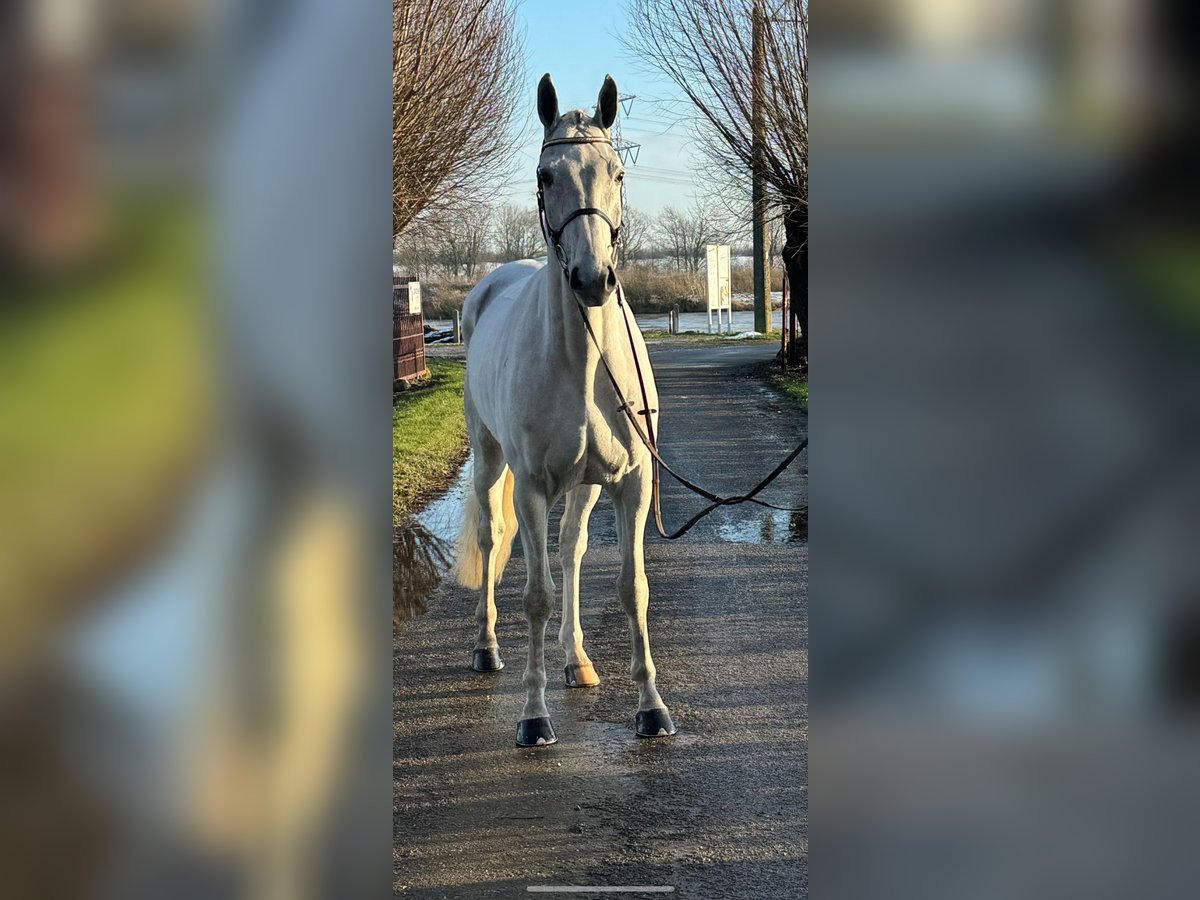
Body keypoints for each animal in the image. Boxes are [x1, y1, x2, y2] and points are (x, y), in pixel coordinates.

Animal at [451, 72, 676, 748]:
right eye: (547, 176)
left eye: (617, 173)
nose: (592, 279)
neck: (584, 363)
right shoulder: (529, 488)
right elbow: (536, 595)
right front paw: (533, 717)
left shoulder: (631, 482)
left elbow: (631, 587)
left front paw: (651, 708)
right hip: (490, 460)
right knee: (492, 538)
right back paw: (488, 648)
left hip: (584, 485)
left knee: (572, 548)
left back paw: (576, 659)